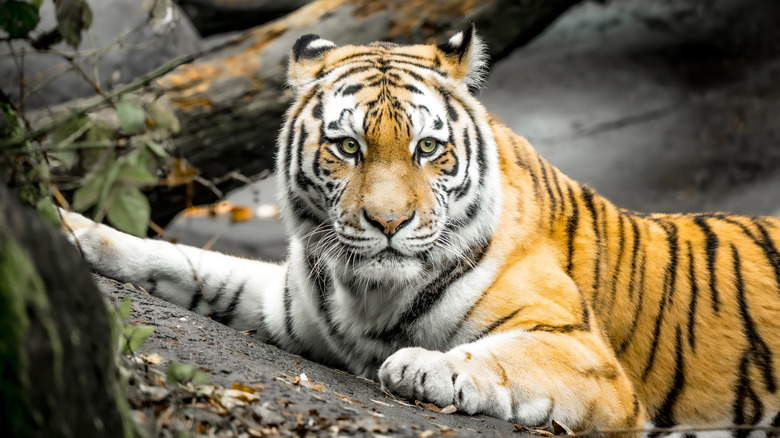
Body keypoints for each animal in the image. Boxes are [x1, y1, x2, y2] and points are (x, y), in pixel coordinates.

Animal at [60, 26, 780, 435]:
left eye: (428, 148)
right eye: (347, 147)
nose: (387, 222)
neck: (365, 293)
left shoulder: (588, 359)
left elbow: (504, 356)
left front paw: (419, 366)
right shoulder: (283, 300)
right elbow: (186, 262)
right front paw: (74, 231)